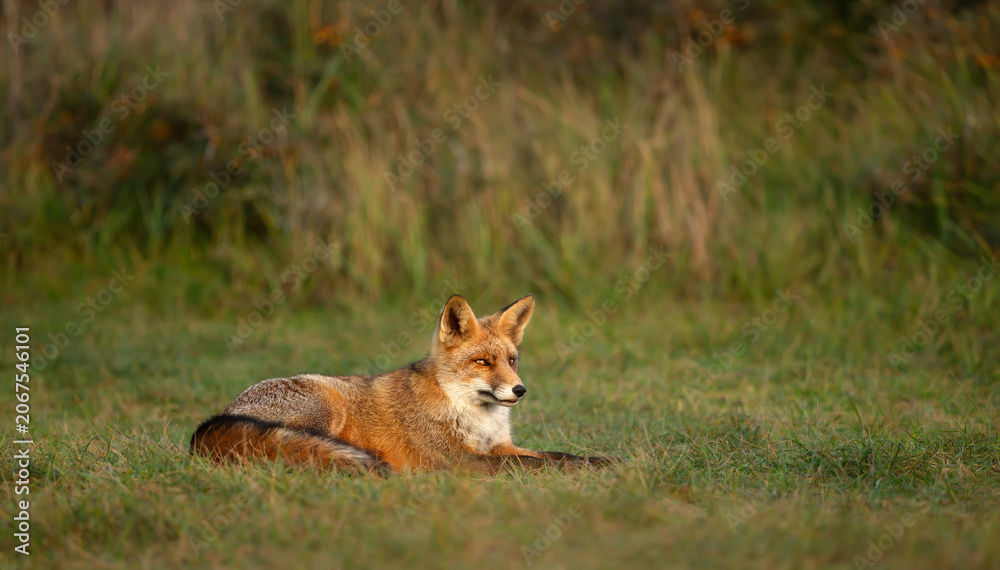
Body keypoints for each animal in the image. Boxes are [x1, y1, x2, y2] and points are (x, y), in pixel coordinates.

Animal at [190, 294, 616, 475]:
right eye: (482, 362)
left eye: (511, 361)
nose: (519, 390)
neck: (476, 419)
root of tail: (208, 428)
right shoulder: (458, 460)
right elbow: (528, 466)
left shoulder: (500, 446)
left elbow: (555, 455)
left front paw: (603, 463)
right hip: (328, 409)